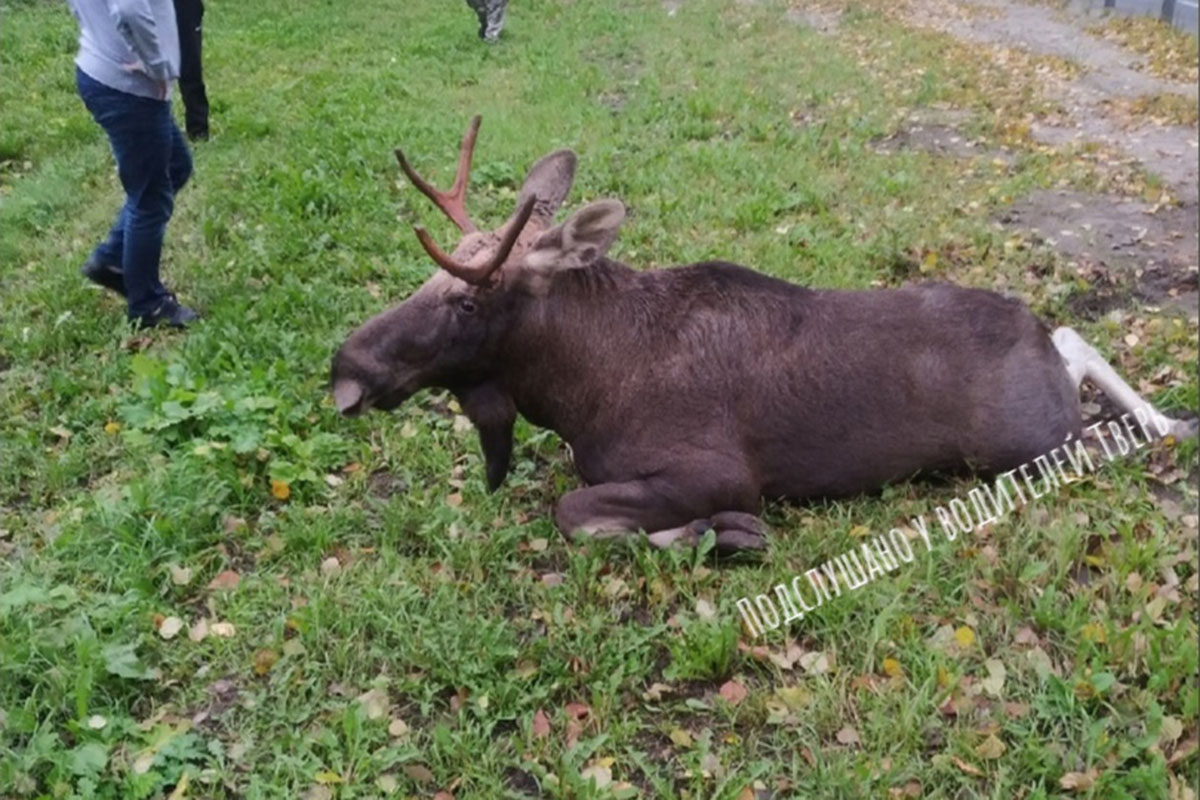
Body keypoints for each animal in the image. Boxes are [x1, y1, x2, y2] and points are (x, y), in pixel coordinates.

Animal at [331, 117, 1200, 556]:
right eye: (423, 285)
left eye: (467, 300)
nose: (346, 364)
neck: (573, 393)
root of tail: (1028, 332)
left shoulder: (717, 471)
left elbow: (574, 512)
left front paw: (718, 535)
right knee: (1074, 337)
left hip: (1028, 445)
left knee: (1091, 414)